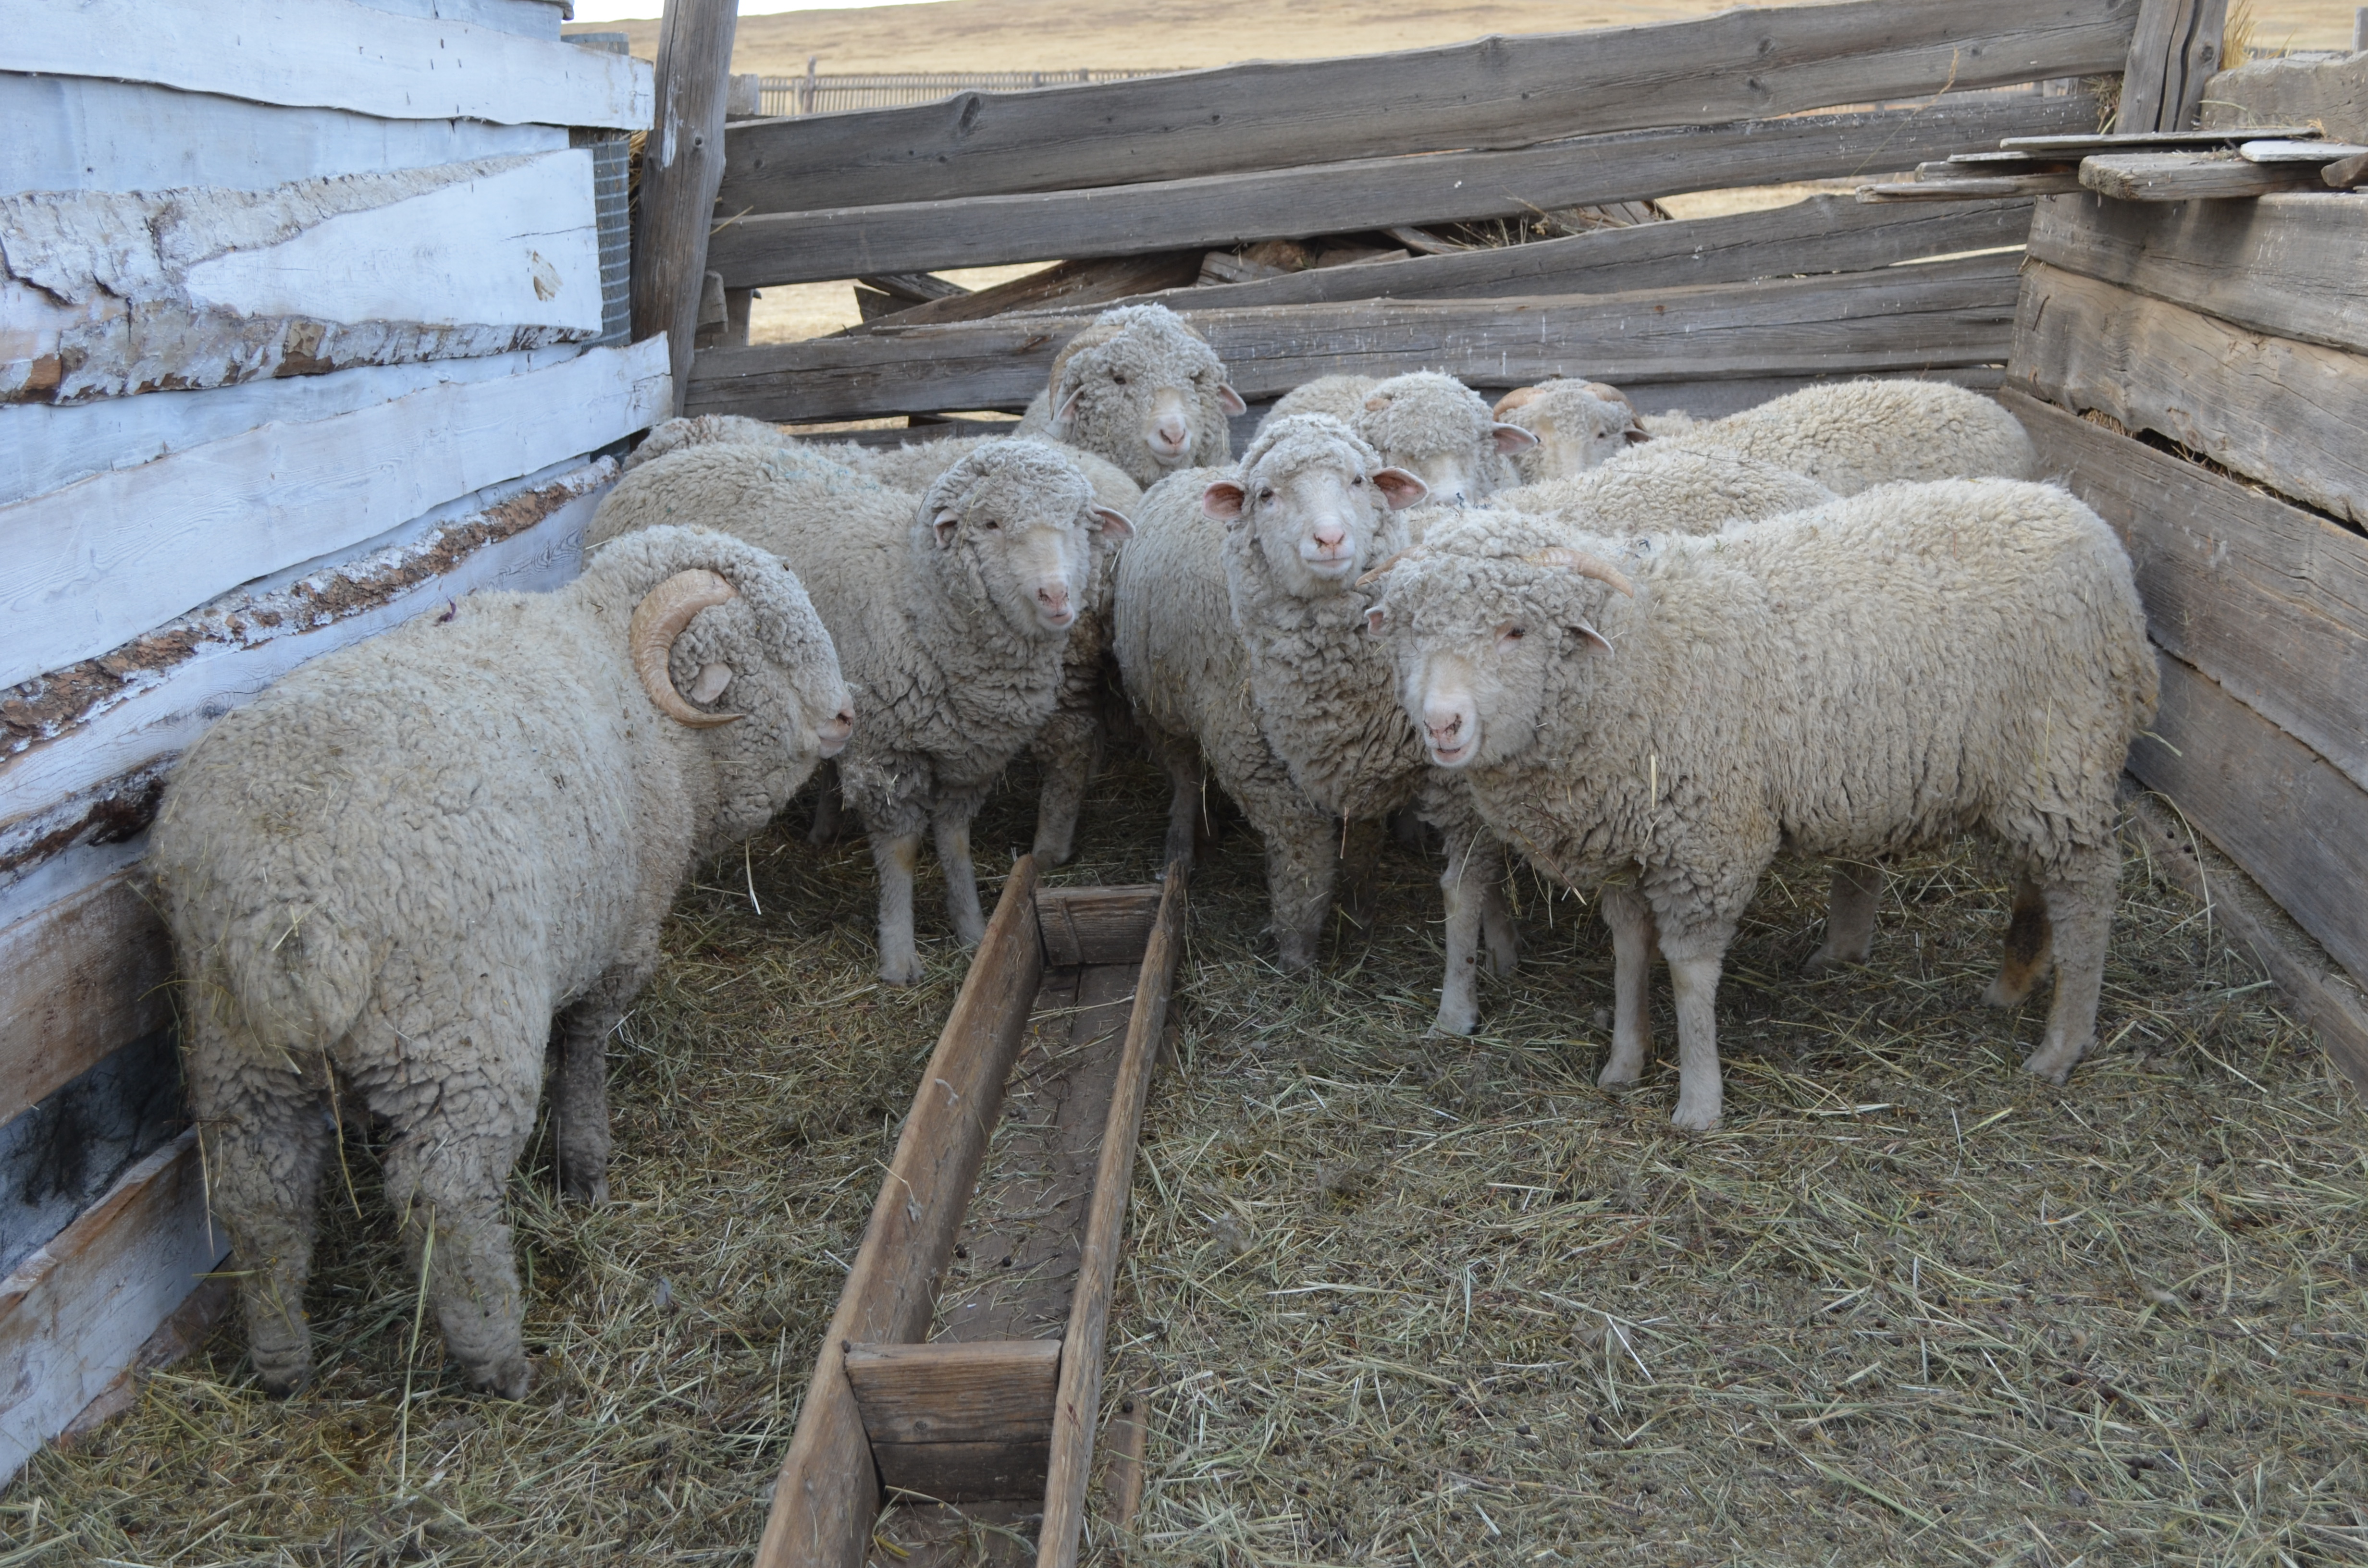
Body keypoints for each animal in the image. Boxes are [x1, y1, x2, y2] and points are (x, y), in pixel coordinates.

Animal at [148, 528, 852, 1402]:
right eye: (765, 645)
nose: (847, 715)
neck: (626, 681)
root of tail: (288, 892)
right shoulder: (615, 944)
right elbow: (583, 1053)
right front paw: (585, 1170)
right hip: (458, 1031)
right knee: (444, 1195)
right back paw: (499, 1358)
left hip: (234, 1042)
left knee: (260, 1188)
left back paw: (283, 1362)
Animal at [580, 443, 1118, 985]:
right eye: (990, 523)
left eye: (1078, 521)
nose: (1056, 596)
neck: (915, 594)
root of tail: (663, 461)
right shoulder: (885, 753)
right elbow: (901, 854)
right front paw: (899, 957)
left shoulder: (968, 757)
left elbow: (955, 843)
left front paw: (973, 930)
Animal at [1373, 478, 2169, 1132]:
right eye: (1411, 631)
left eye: (1515, 630)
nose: (1442, 725)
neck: (1640, 655)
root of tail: (2087, 523)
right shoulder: (1632, 844)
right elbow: (1630, 949)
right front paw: (1626, 1059)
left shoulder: (1708, 839)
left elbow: (1690, 974)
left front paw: (1698, 1102)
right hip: (2034, 778)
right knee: (2044, 879)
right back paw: (2014, 984)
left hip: (2064, 756)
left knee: (2088, 895)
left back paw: (2061, 1045)